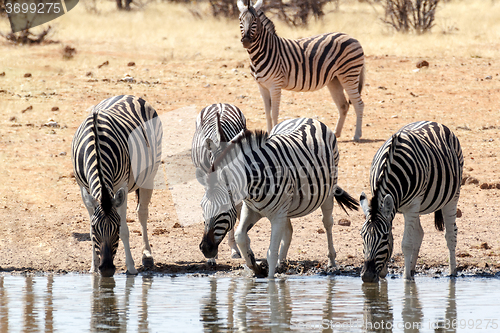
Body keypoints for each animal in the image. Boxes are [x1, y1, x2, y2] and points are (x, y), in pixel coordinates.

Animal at [71, 94, 162, 276]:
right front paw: (93, 268)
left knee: (142, 212)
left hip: (150, 173)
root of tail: (129, 95)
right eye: (95, 227)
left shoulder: (122, 185)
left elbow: (125, 230)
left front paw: (131, 267)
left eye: (116, 226)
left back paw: (147, 256)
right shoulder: (83, 189)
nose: (106, 270)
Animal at [197, 116, 358, 278]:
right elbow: (240, 236)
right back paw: (281, 264)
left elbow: (271, 253)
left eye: (223, 208)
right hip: (287, 205)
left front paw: (269, 280)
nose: (205, 249)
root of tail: (307, 118)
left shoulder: (277, 214)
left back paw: (331, 262)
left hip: (328, 190)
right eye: (202, 208)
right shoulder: (251, 209)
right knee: (289, 231)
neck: (253, 186)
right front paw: (256, 266)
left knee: (327, 223)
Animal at [236, 0, 366, 141]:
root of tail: (353, 38)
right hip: (334, 80)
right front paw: (268, 134)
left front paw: (273, 134)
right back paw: (336, 133)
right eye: (240, 20)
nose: (246, 41)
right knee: (344, 105)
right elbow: (267, 113)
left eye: (255, 19)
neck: (264, 51)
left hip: (349, 75)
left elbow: (274, 112)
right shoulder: (262, 86)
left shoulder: (275, 85)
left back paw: (357, 135)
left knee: (358, 104)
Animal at [360, 120, 464, 282]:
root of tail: (433, 122)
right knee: (419, 233)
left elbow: (406, 244)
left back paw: (452, 273)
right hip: (417, 207)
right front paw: (385, 273)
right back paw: (412, 269)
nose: (367, 276)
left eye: (383, 237)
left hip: (452, 196)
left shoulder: (412, 205)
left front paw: (406, 279)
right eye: (362, 235)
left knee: (451, 234)